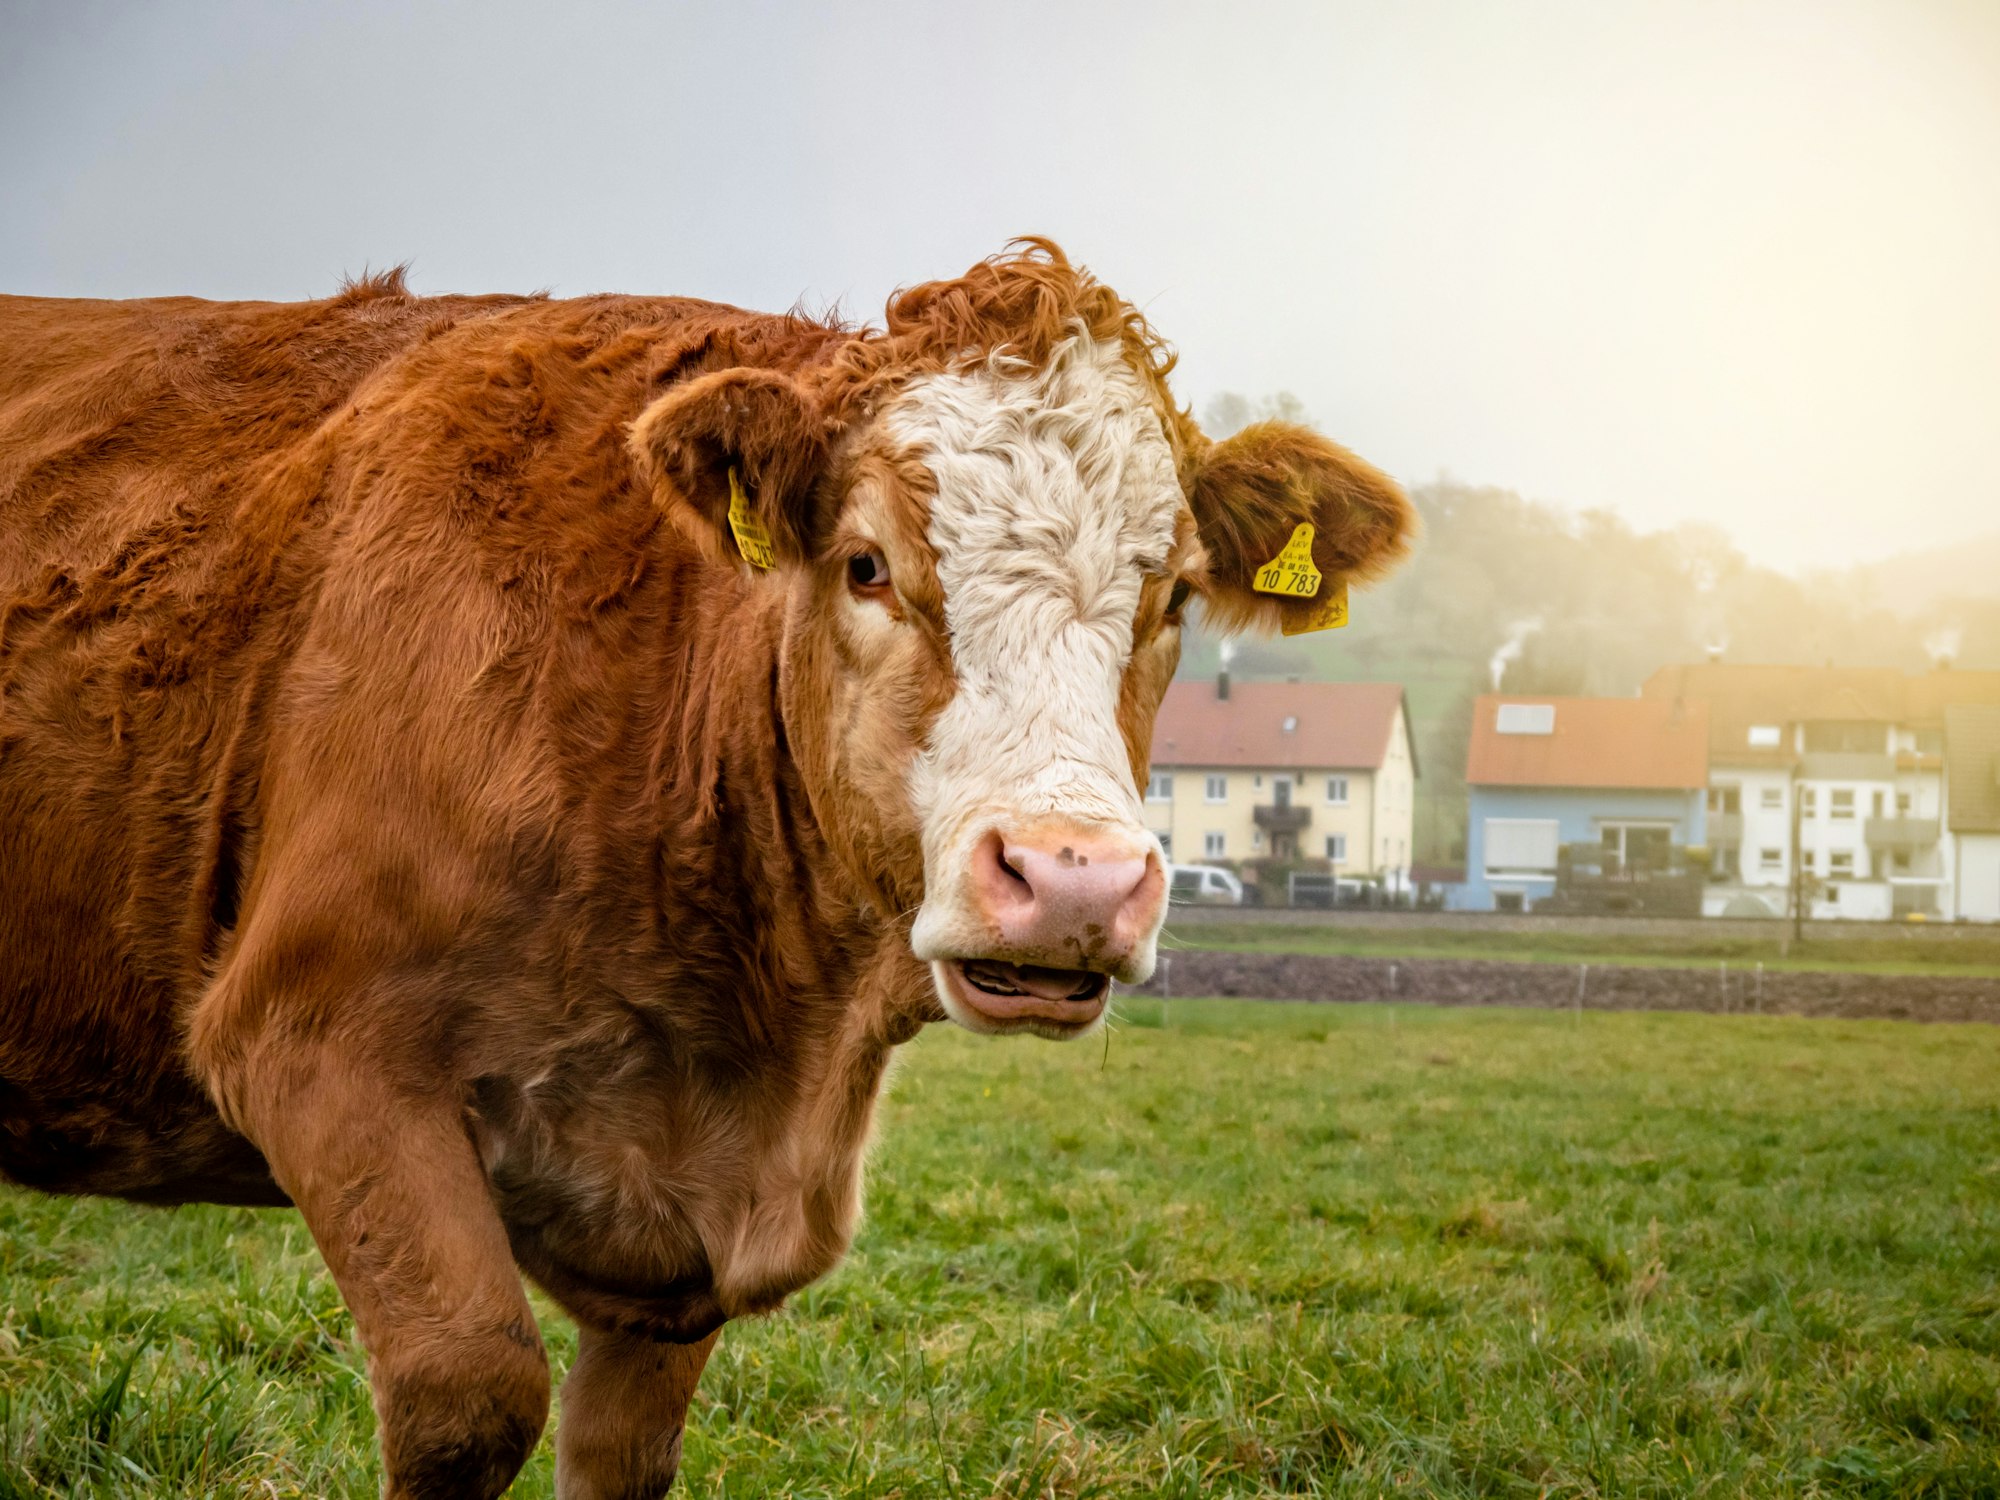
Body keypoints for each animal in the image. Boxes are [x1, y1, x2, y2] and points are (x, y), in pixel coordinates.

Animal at [0, 241, 1416, 1496]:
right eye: (865, 565)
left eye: (1173, 597)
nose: (1069, 881)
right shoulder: (311, 1040)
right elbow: (472, 1395)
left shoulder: (672, 1263)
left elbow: (620, 1452)